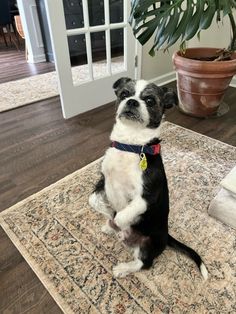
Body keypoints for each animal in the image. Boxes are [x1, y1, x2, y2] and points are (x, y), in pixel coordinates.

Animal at [89, 77, 208, 278]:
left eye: (150, 100)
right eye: (124, 94)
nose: (132, 102)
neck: (130, 145)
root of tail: (166, 236)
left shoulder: (146, 196)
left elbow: (124, 214)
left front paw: (118, 221)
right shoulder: (103, 180)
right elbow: (93, 200)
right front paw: (108, 213)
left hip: (148, 244)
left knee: (144, 263)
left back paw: (123, 266)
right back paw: (109, 228)